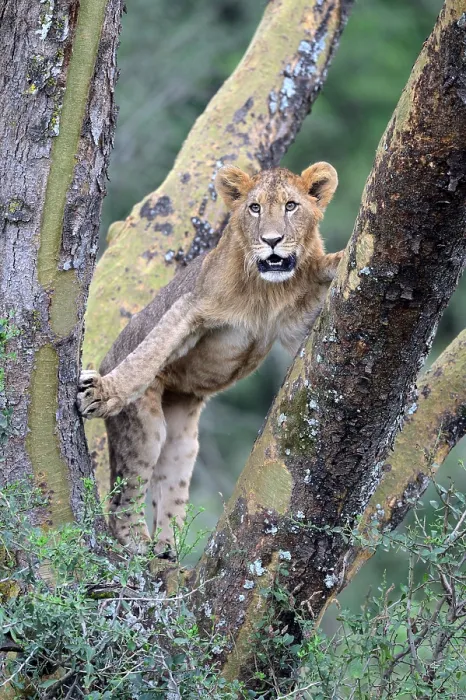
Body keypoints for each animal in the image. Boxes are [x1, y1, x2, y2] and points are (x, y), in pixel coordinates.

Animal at [77, 162, 344, 555]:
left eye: (291, 206)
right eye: (254, 208)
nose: (272, 240)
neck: (268, 289)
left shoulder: (296, 324)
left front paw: (336, 261)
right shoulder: (193, 305)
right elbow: (153, 348)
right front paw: (102, 392)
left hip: (183, 439)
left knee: (169, 486)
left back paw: (167, 548)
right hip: (144, 427)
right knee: (122, 498)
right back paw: (137, 544)